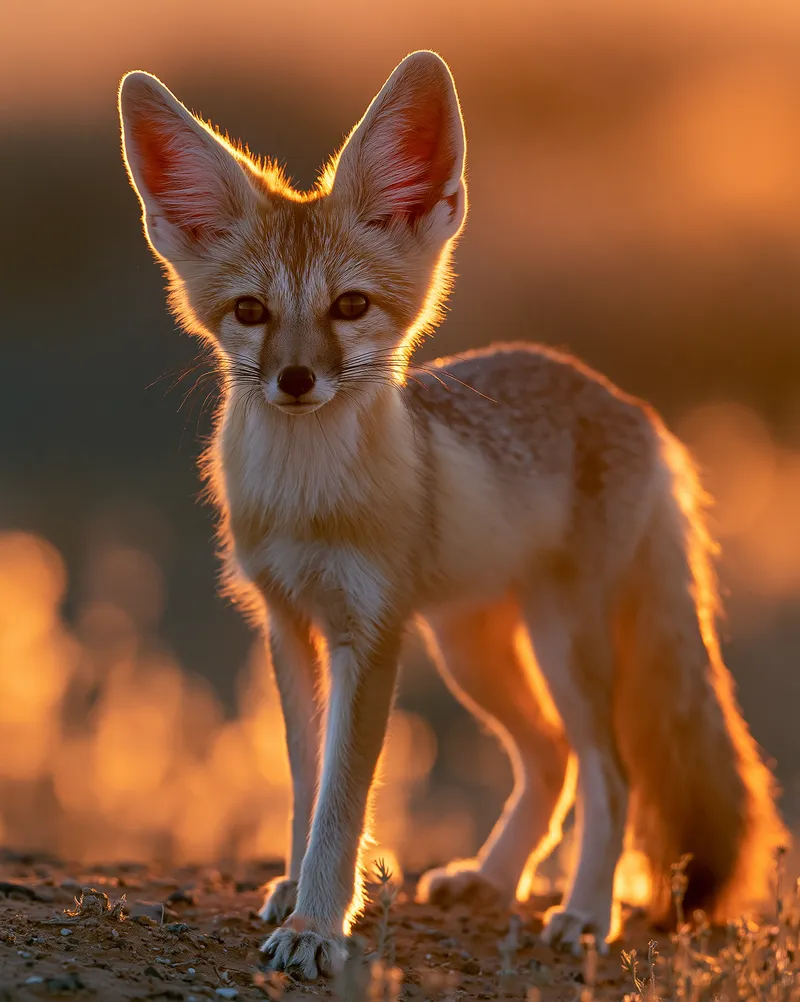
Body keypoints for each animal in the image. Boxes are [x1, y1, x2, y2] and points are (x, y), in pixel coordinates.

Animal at [118, 50, 786, 979]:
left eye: (351, 306)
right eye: (251, 312)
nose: (295, 380)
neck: (307, 501)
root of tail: (633, 410)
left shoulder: (373, 634)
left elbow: (343, 800)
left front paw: (319, 923)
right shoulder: (288, 626)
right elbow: (305, 782)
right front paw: (295, 889)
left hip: (560, 641)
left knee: (609, 770)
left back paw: (585, 913)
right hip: (471, 649)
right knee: (550, 758)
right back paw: (493, 878)